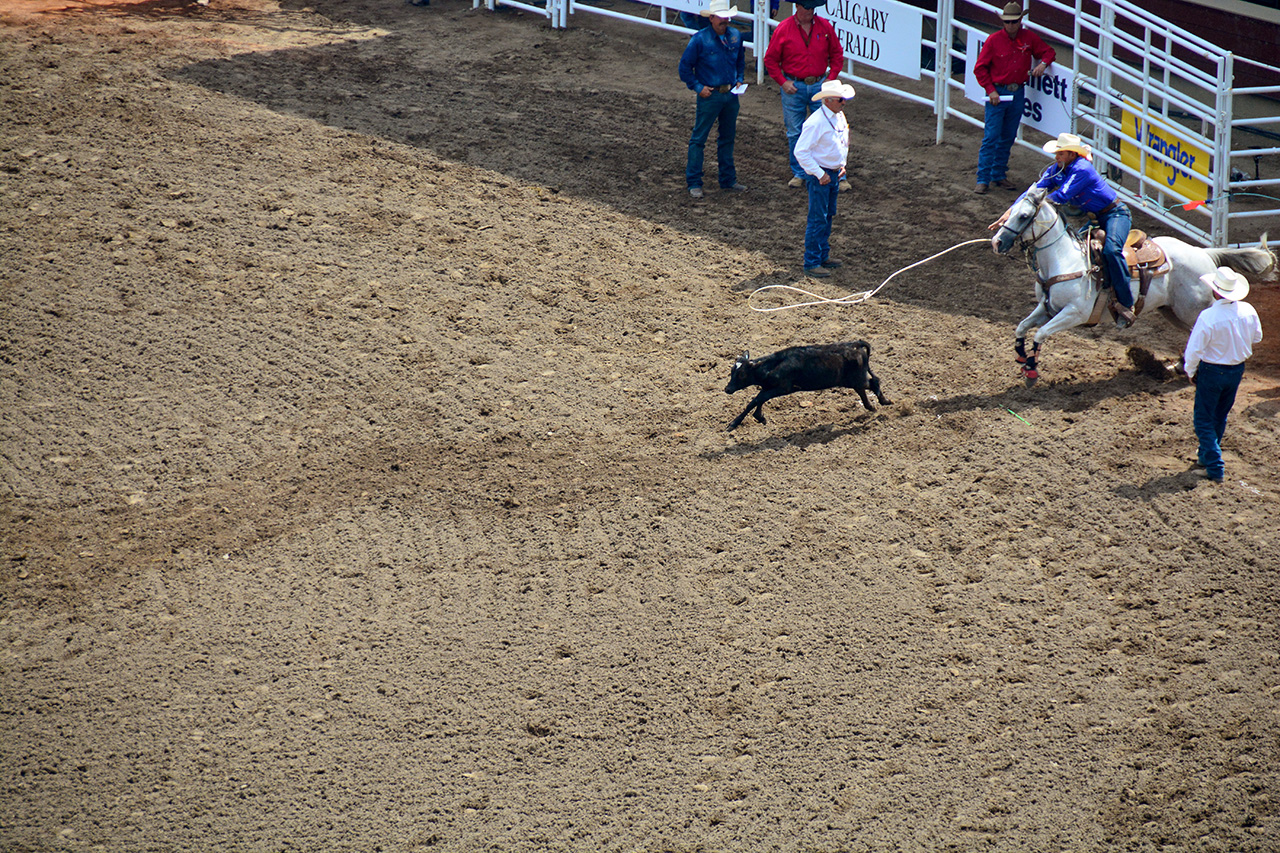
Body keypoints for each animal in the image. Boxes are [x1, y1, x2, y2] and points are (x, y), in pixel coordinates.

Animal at [988, 189, 1269, 381]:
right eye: (1011, 210)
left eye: (1024, 215)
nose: (997, 242)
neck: (1064, 259)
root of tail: (1204, 253)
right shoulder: (1047, 308)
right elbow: (1022, 327)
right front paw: (1021, 356)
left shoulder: (1074, 314)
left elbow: (1040, 333)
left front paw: (1031, 370)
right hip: (1172, 311)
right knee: (1192, 334)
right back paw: (1178, 366)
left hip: (1191, 310)